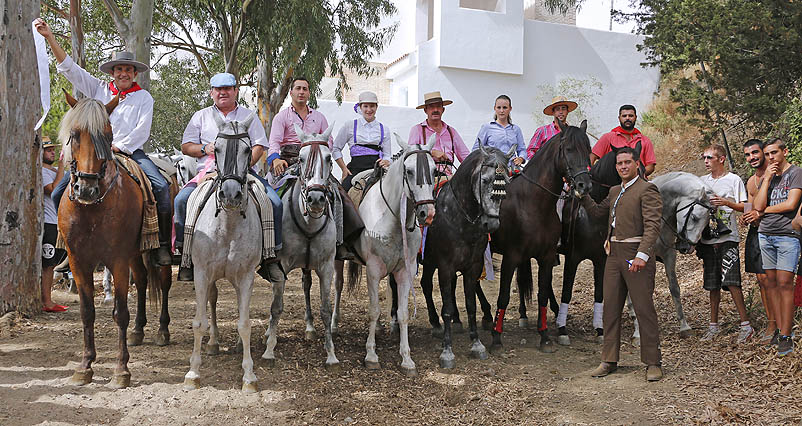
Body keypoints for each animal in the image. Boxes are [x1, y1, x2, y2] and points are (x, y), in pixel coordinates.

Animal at [57, 91, 173, 388]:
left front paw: (121, 370)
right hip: (134, 254)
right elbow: (87, 311)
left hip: (157, 252)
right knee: (142, 281)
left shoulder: (117, 260)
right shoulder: (79, 262)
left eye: (108, 136)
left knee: (163, 283)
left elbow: (120, 312)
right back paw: (138, 330)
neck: (92, 209)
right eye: (74, 134)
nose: (86, 188)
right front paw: (85, 366)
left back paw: (162, 331)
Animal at [183, 111, 264, 392]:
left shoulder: (247, 276)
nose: (230, 194)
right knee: (211, 300)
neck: (227, 224)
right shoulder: (201, 273)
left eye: (247, 149)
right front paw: (193, 373)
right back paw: (213, 343)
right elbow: (199, 322)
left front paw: (249, 376)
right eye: (216, 148)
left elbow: (245, 323)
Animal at [260, 124, 340, 370]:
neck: (308, 223)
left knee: (306, 286)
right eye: (302, 159)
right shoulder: (281, 267)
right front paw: (269, 350)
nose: (316, 198)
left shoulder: (326, 267)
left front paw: (331, 354)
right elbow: (276, 307)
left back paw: (310, 327)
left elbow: (325, 308)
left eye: (329, 158)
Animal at [342, 133, 432, 376]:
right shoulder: (373, 270)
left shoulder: (405, 271)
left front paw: (407, 359)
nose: (427, 212)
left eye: (434, 170)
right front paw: (371, 355)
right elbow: (373, 310)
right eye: (409, 171)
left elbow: (402, 313)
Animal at [484, 120, 592, 352]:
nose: (584, 186)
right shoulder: (511, 257)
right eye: (569, 149)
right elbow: (503, 296)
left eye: (588, 150)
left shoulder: (546, 257)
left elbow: (542, 294)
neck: (532, 203)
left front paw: (544, 336)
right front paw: (496, 338)